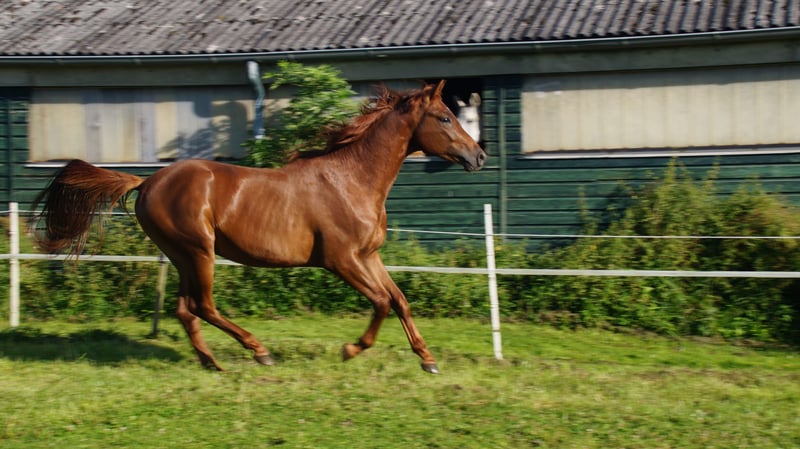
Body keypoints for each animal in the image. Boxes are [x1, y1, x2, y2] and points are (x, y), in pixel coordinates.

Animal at [31, 80, 487, 374]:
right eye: (445, 118)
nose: (479, 157)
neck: (352, 179)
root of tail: (146, 182)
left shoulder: (368, 256)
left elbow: (399, 300)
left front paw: (428, 360)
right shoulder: (341, 260)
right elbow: (380, 303)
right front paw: (350, 349)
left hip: (183, 256)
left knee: (185, 310)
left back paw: (211, 362)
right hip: (199, 251)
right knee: (203, 306)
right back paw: (259, 351)